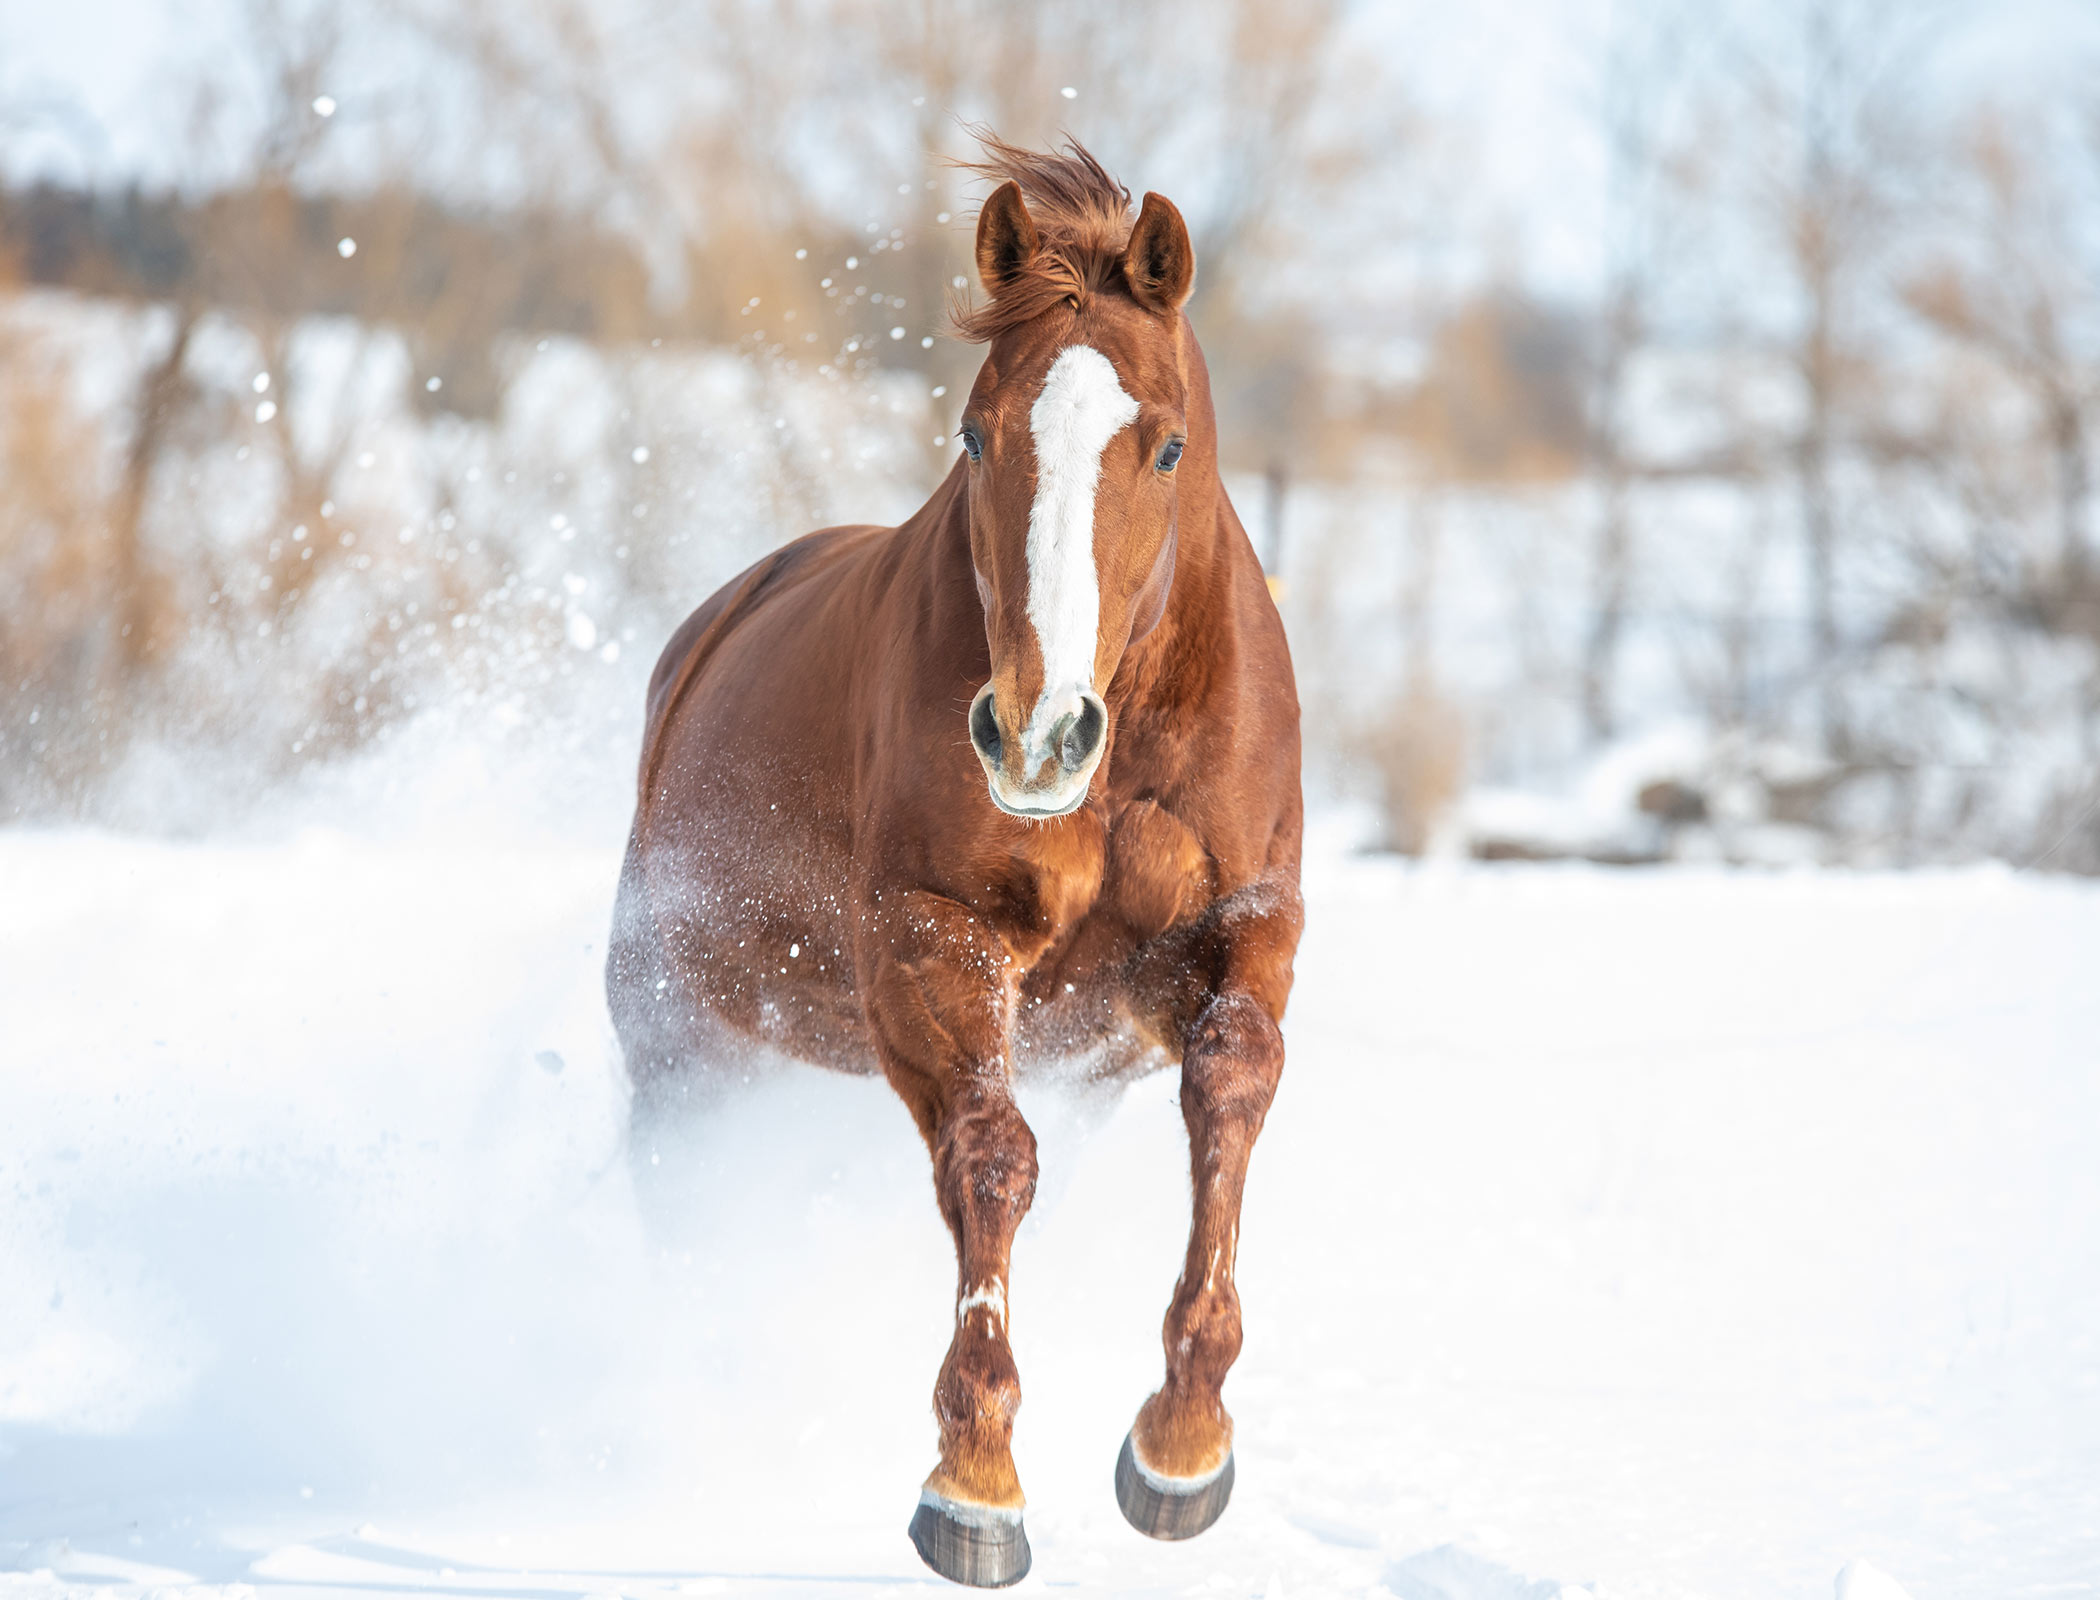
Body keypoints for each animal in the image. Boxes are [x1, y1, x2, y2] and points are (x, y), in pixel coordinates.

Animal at [606, 136, 1303, 1588]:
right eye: (979, 432)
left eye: (1164, 442)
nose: (1036, 733)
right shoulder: (929, 938)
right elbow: (991, 1159)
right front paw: (974, 1481)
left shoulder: (1229, 937)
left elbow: (1230, 1091)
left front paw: (1181, 1446)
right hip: (682, 1040)